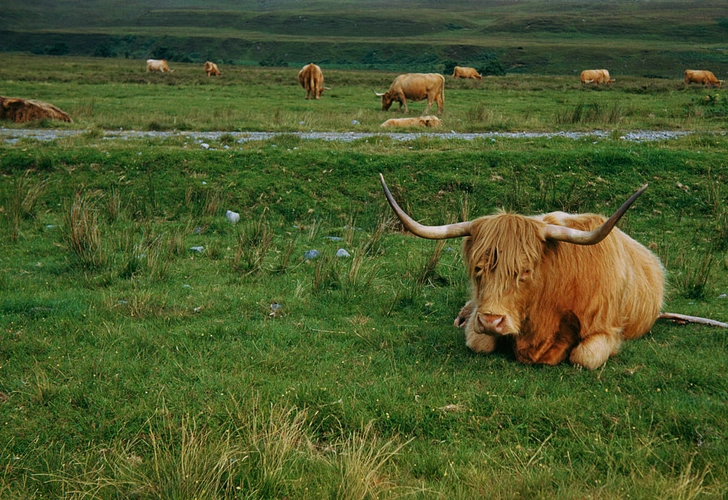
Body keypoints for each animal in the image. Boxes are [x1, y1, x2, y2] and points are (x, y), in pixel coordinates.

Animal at [382, 174, 664, 370]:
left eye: (525, 271)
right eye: (478, 268)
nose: (491, 320)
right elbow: (480, 343)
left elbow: (584, 356)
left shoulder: (606, 329)